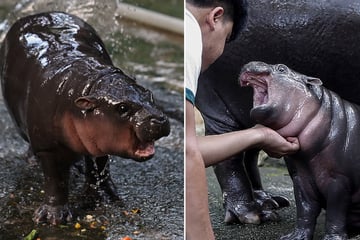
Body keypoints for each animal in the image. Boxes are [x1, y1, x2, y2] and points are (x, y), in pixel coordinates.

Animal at [0, 11, 170, 225]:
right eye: (122, 107)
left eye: (149, 94)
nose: (159, 119)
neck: (88, 86)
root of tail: (38, 14)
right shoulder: (48, 147)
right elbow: (56, 180)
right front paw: (54, 217)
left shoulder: (98, 140)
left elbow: (100, 166)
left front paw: (105, 197)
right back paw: (33, 161)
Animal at [239, 60, 360, 240]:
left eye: (282, 68)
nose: (250, 62)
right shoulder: (300, 177)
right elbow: (305, 209)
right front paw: (294, 237)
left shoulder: (339, 179)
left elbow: (335, 212)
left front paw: (332, 238)